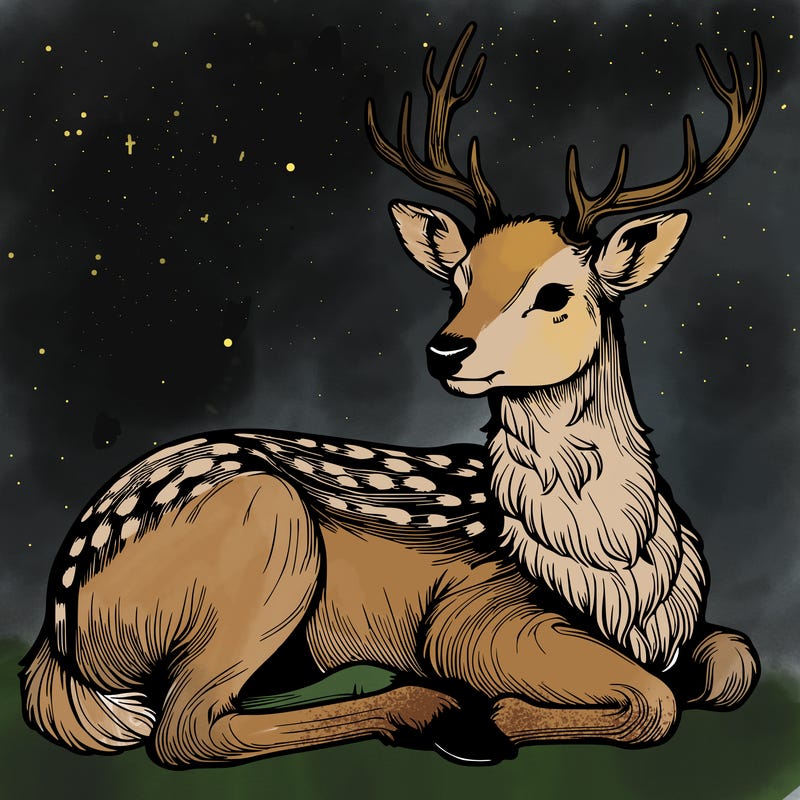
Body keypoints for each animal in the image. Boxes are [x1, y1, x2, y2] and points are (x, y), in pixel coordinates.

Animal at [21, 22, 765, 768]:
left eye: (554, 293)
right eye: (460, 281)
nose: (446, 349)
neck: (617, 575)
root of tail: (56, 634)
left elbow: (736, 660)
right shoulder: (474, 613)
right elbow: (655, 699)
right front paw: (492, 716)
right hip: (267, 534)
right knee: (185, 728)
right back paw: (435, 712)